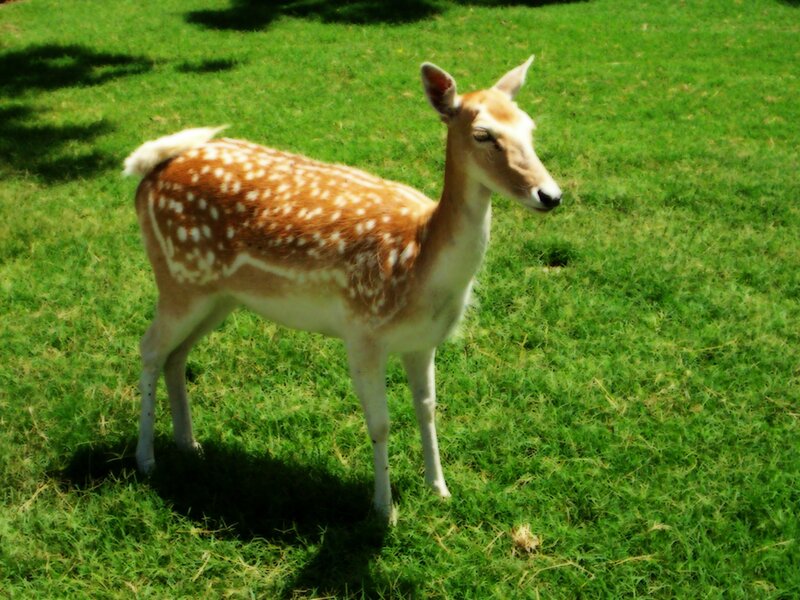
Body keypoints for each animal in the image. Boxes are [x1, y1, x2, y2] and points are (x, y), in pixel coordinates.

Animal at [123, 58, 562, 525]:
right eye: (483, 134)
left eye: (530, 127)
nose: (550, 195)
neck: (419, 263)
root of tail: (145, 176)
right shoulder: (362, 332)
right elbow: (381, 423)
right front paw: (384, 511)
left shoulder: (422, 341)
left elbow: (428, 408)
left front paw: (439, 489)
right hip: (177, 280)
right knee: (150, 349)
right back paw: (146, 460)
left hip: (217, 296)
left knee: (177, 356)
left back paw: (189, 444)